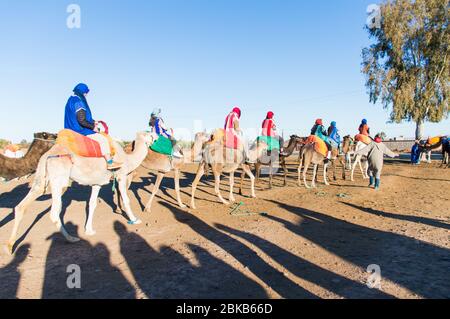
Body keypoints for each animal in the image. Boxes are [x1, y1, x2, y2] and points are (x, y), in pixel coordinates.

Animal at [6, 131, 155, 255]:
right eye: (149, 133)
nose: (156, 137)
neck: (127, 159)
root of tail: (46, 156)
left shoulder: (97, 183)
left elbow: (92, 203)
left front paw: (89, 230)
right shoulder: (121, 175)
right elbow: (126, 199)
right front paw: (135, 219)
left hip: (40, 179)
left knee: (21, 206)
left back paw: (9, 247)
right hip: (59, 179)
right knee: (54, 212)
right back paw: (71, 238)